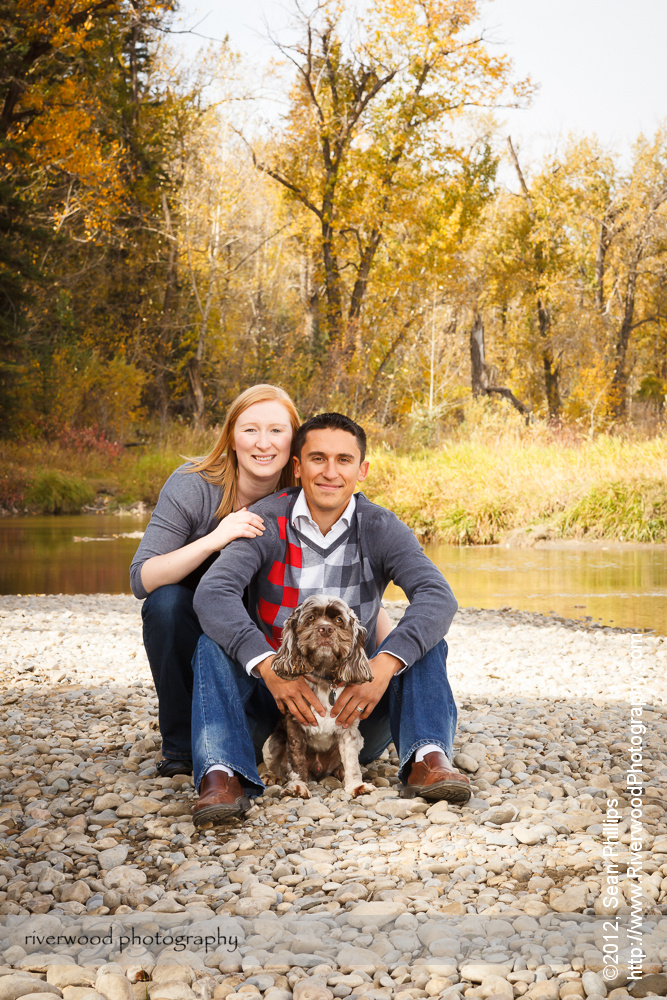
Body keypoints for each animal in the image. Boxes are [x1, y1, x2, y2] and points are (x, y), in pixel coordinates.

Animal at [262, 596, 376, 800]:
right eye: (311, 618)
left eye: (338, 620)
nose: (326, 629)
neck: (323, 679)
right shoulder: (295, 724)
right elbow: (296, 759)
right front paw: (298, 786)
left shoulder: (348, 728)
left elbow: (351, 761)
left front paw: (355, 786)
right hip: (271, 742)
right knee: (277, 765)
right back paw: (272, 776)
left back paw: (339, 772)